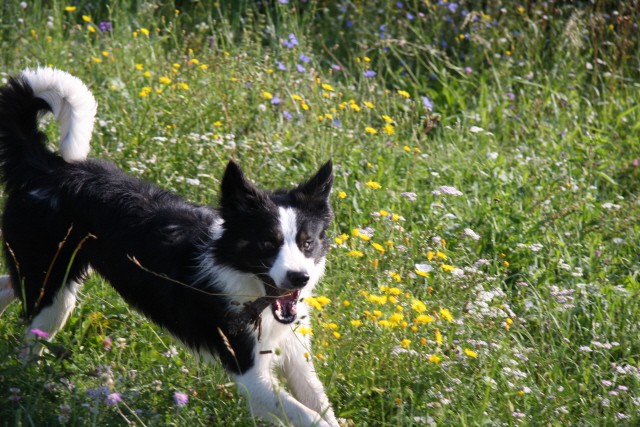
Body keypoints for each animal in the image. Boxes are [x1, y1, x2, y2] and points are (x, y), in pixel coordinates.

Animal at [0, 68, 340, 426]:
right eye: (267, 243)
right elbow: (313, 417)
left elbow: (322, 407)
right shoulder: (250, 374)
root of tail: (48, 169)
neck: (242, 281)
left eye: (307, 243)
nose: (299, 278)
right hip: (51, 287)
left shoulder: (294, 352)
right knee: (29, 338)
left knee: (9, 284)